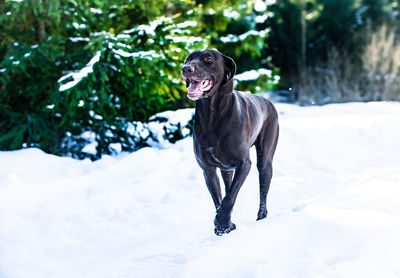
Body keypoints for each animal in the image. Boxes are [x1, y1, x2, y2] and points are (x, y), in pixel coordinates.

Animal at [182, 49, 280, 235]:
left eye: (208, 58)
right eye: (188, 59)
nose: (186, 69)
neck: (212, 116)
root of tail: (268, 101)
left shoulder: (244, 163)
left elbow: (227, 200)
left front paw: (222, 223)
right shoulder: (208, 169)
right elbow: (220, 199)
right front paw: (225, 224)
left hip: (265, 161)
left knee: (262, 190)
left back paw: (261, 217)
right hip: (226, 170)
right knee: (229, 188)